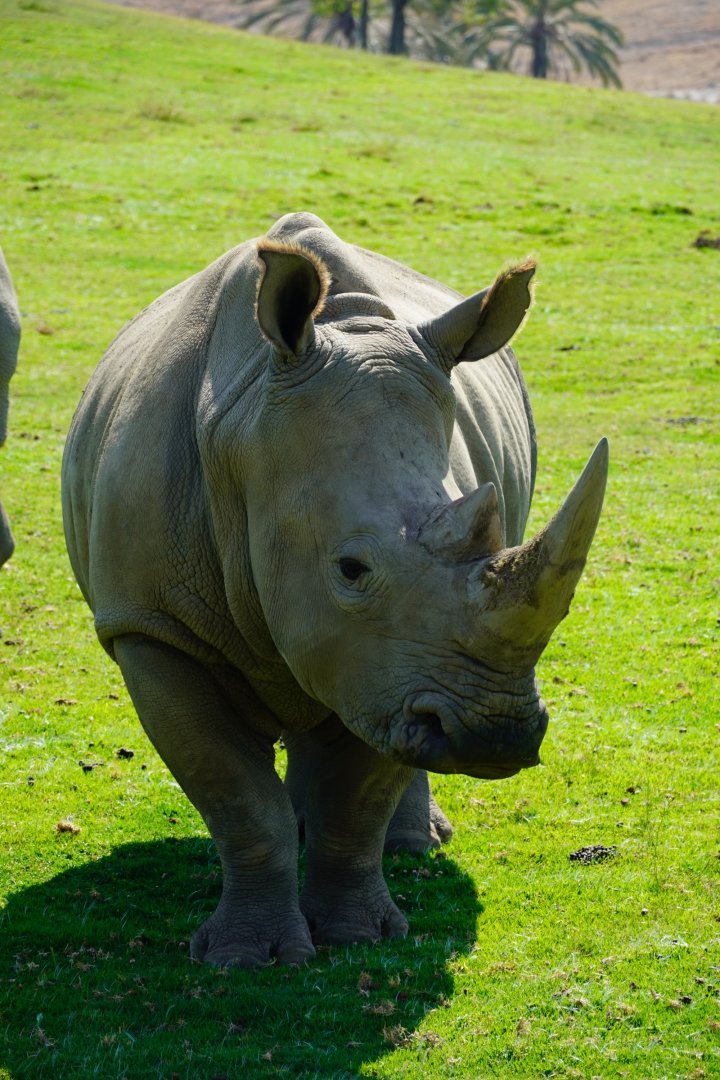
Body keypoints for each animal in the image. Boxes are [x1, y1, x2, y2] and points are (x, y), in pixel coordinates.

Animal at [62, 212, 607, 967]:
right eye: (350, 570)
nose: (494, 736)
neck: (246, 430)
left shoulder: (384, 665)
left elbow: (357, 795)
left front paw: (358, 937)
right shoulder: (153, 625)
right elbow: (234, 794)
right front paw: (247, 958)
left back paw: (411, 847)